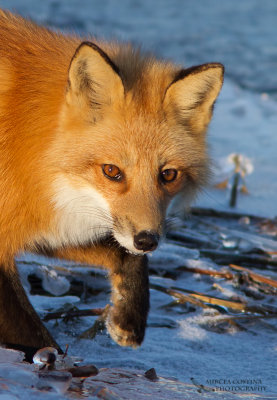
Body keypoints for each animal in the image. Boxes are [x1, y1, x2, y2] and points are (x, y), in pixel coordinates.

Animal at [0, 8, 223, 360]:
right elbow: (33, 334)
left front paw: (129, 318)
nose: (147, 240)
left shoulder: (49, 222)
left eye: (168, 175)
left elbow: (127, 256)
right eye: (111, 171)